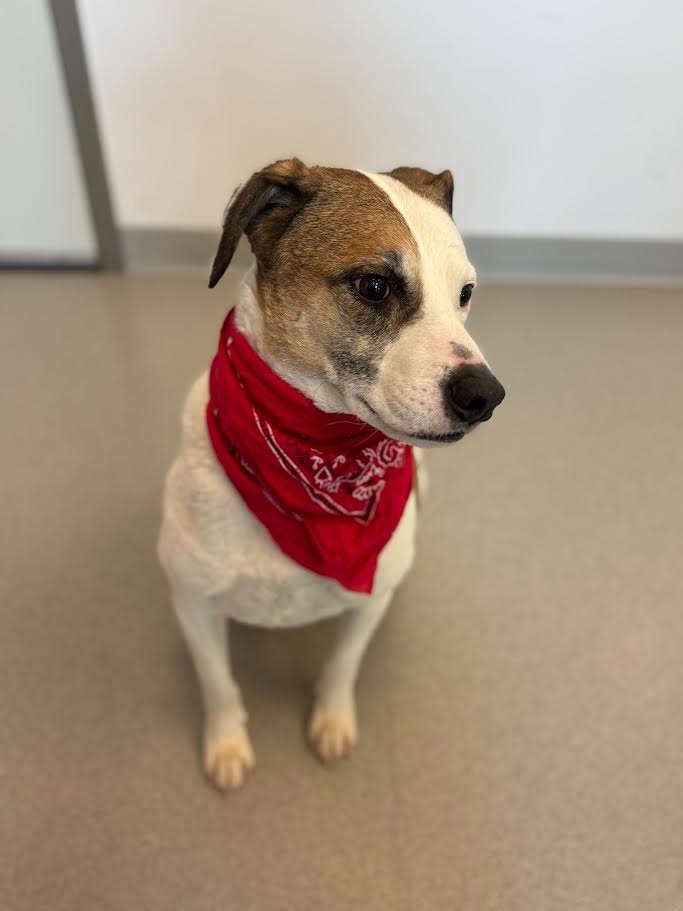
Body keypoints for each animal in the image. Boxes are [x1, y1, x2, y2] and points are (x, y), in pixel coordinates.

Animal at [158, 162, 504, 792]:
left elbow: (343, 665)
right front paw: (227, 745)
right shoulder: (193, 604)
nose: (487, 396)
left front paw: (332, 721)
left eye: (465, 294)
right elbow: (218, 685)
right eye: (374, 286)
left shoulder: (370, 599)